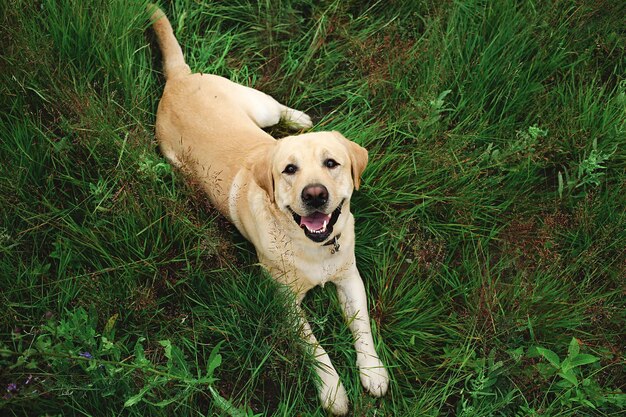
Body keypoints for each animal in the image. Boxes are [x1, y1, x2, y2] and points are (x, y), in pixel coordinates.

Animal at [148, 5, 388, 412]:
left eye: (332, 163)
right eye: (289, 170)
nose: (314, 194)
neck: (312, 248)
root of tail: (178, 79)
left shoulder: (350, 278)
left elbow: (363, 327)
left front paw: (372, 371)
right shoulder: (285, 303)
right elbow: (315, 348)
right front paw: (333, 391)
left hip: (261, 110)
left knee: (279, 111)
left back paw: (301, 118)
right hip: (181, 161)